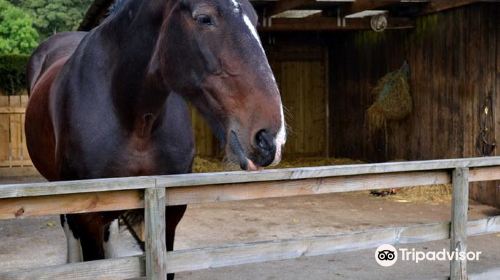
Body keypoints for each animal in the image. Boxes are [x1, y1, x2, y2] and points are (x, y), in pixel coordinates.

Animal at [25, 0, 286, 278]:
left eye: (254, 18)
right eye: (204, 18)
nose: (270, 138)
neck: (136, 121)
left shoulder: (169, 213)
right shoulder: (87, 216)